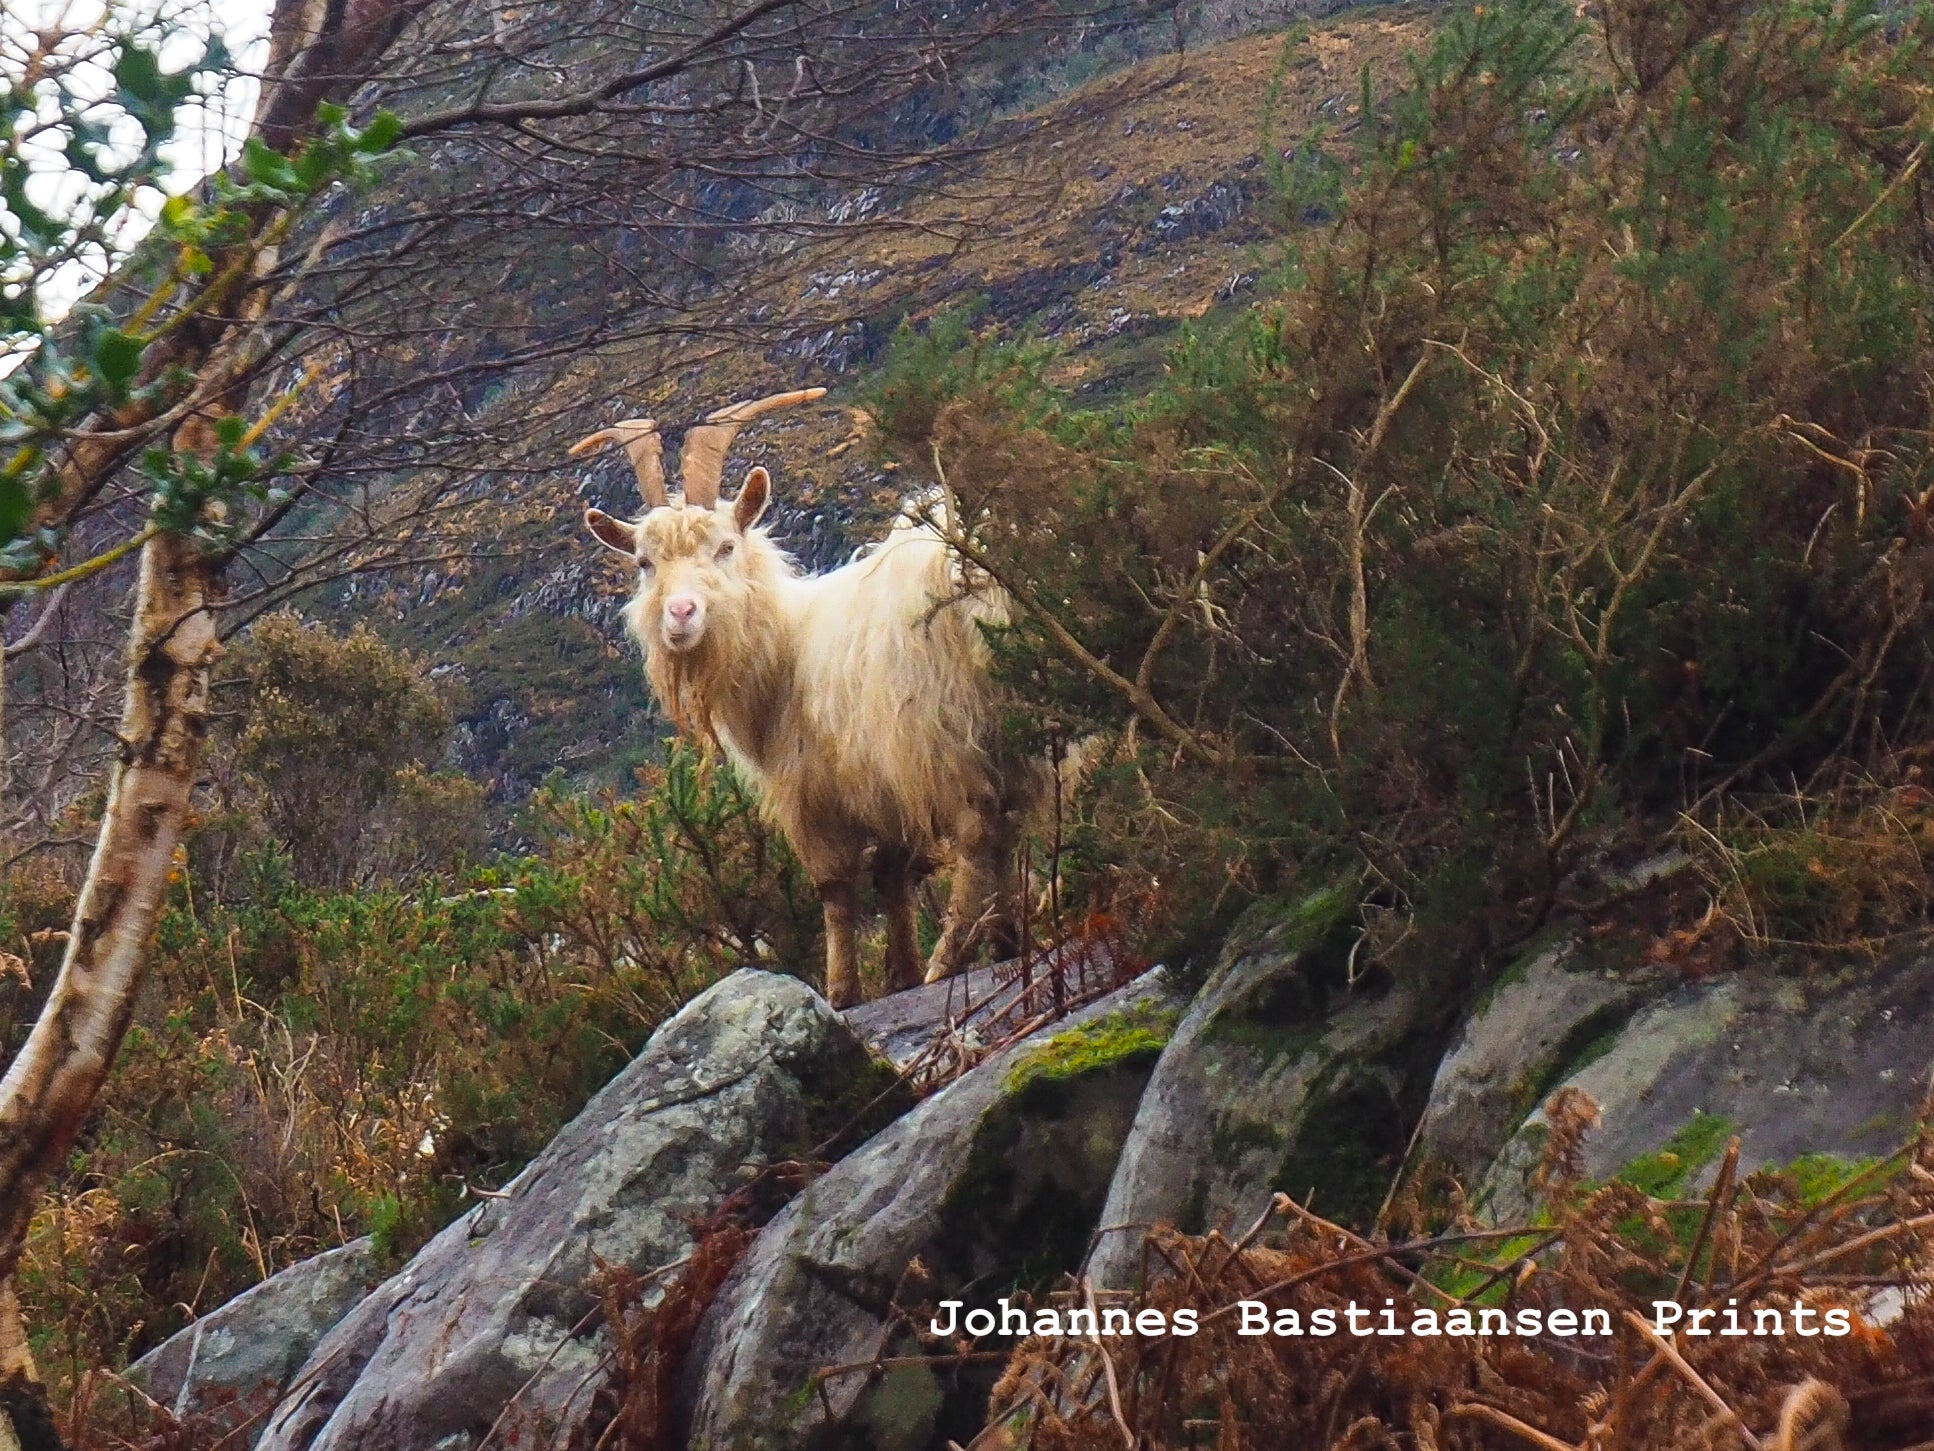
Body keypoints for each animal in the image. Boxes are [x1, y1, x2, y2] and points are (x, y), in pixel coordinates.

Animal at [575, 388, 1036, 1008]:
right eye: (645, 563)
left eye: (725, 546)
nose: (680, 614)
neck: (785, 647)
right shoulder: (877, 788)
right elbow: (890, 878)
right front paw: (900, 971)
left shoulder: (814, 794)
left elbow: (835, 887)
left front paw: (842, 990)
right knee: (1005, 833)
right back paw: (1004, 940)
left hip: (941, 736)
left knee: (977, 835)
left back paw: (950, 956)